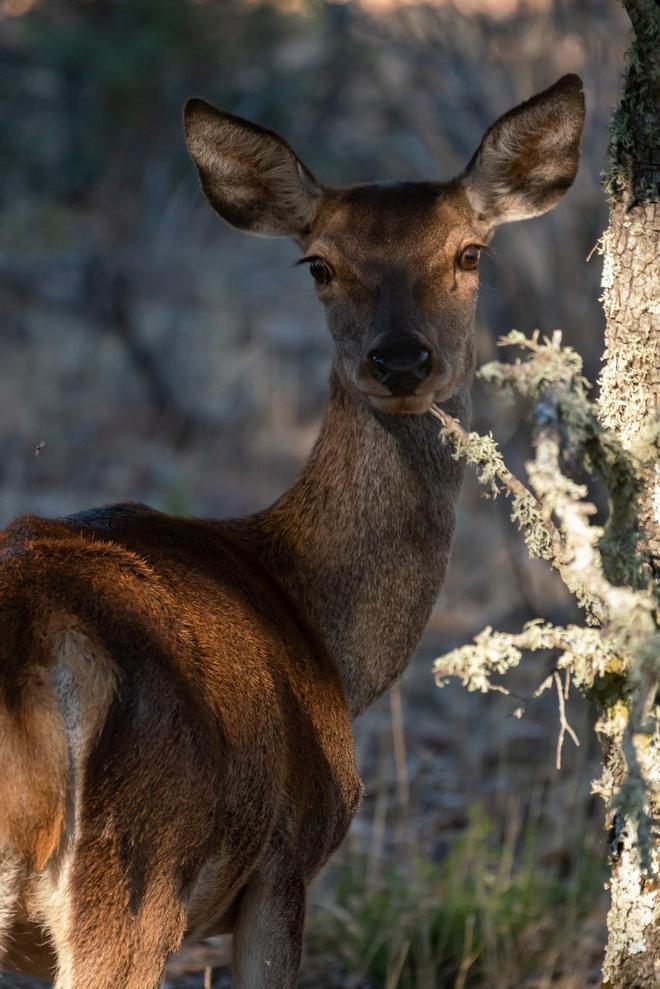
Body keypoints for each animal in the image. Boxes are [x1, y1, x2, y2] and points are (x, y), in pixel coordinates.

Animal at [0, 73, 584, 984]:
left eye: (469, 253)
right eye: (320, 264)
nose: (400, 359)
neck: (329, 637)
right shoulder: (287, 860)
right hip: (133, 877)